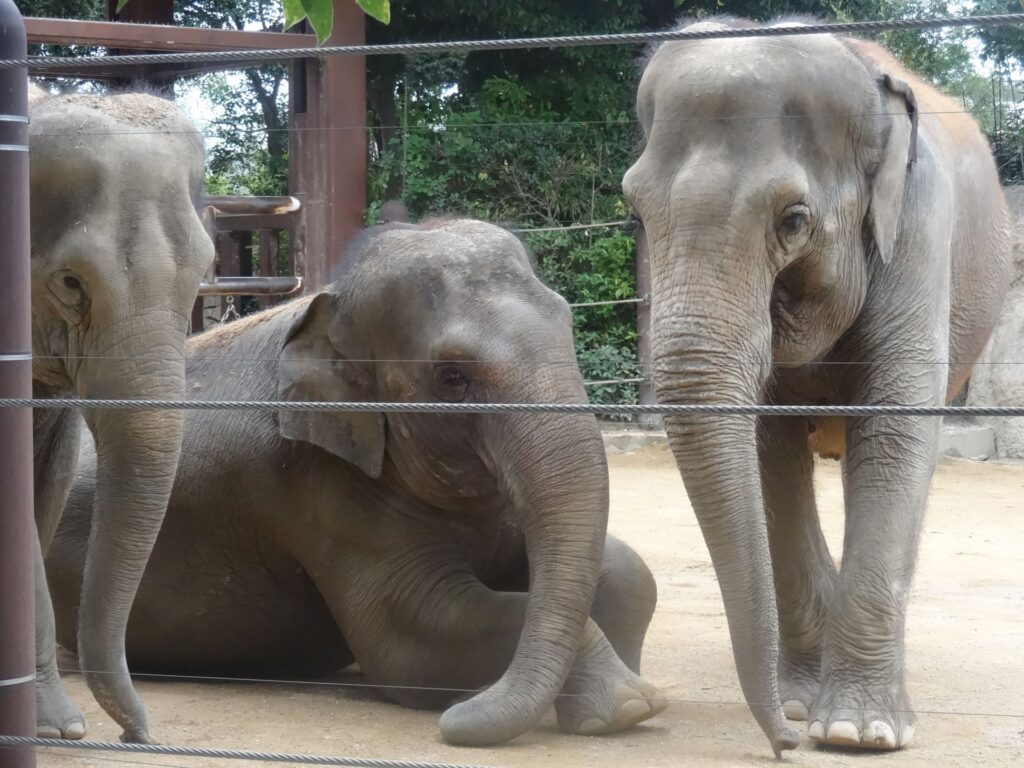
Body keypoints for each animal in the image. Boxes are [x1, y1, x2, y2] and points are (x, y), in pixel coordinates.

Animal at [27, 85, 214, 745]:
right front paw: (57, 730)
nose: (140, 735)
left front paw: (52, 727)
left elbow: (47, 485)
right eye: (70, 283)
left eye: (205, 275)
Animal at [48, 219, 667, 749]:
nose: (454, 724)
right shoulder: (321, 492)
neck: (331, 305)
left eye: (568, 323)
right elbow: (411, 641)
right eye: (452, 377)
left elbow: (625, 573)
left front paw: (628, 696)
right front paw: (629, 706)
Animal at [618, 16, 1011, 757]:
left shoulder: (921, 226)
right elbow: (769, 450)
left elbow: (895, 430)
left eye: (794, 220)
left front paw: (860, 733)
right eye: (634, 213)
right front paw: (803, 704)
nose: (783, 744)